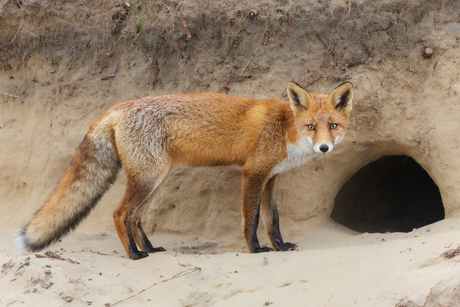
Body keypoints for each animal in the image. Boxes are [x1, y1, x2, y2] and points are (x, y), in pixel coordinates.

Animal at [16, 81, 354, 260]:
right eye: (311, 127)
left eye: (333, 126)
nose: (324, 148)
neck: (284, 128)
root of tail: (116, 108)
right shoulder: (253, 174)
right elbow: (253, 218)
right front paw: (256, 250)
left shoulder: (271, 177)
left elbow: (274, 219)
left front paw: (280, 246)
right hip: (148, 179)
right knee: (119, 213)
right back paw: (135, 255)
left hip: (155, 180)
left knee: (134, 217)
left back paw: (151, 248)